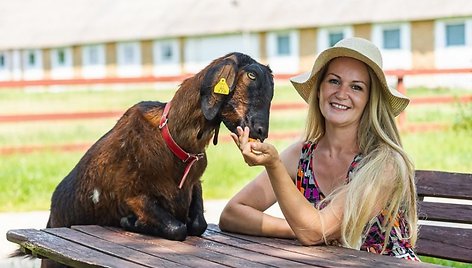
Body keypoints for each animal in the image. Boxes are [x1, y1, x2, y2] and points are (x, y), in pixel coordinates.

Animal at [46, 51, 274, 241]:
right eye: (251, 75)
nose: (261, 131)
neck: (175, 142)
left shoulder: (195, 184)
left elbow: (198, 224)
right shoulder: (132, 196)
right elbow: (177, 228)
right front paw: (130, 222)